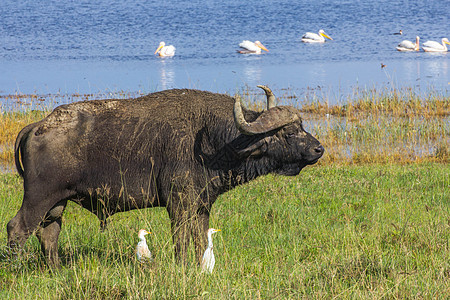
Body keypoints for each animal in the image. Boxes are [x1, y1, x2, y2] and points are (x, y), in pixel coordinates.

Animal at [7, 85, 324, 266]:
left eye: (302, 125)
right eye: (290, 131)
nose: (319, 149)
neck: (213, 140)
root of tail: (38, 125)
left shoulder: (201, 205)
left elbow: (199, 239)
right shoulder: (179, 205)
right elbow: (181, 239)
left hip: (56, 204)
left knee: (48, 233)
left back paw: (57, 269)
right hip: (38, 197)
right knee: (18, 228)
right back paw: (15, 267)